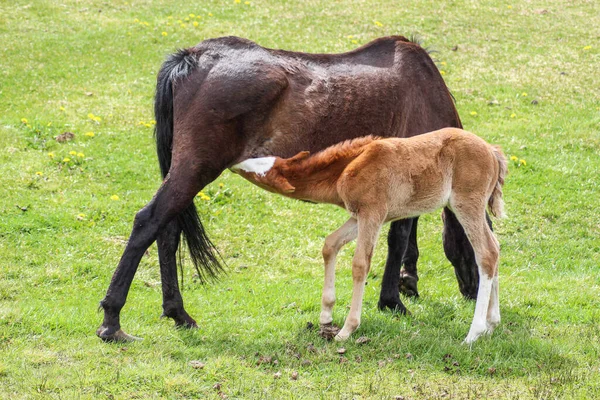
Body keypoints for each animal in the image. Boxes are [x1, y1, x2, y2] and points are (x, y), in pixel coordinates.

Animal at [231, 128, 506, 344]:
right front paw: (325, 316)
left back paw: (474, 333)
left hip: (466, 203)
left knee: (486, 252)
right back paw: (492, 324)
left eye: (262, 172)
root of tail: (492, 151)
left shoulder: (372, 214)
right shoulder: (358, 217)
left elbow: (360, 264)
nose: (235, 162)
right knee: (495, 247)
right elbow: (330, 244)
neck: (347, 169)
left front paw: (346, 330)